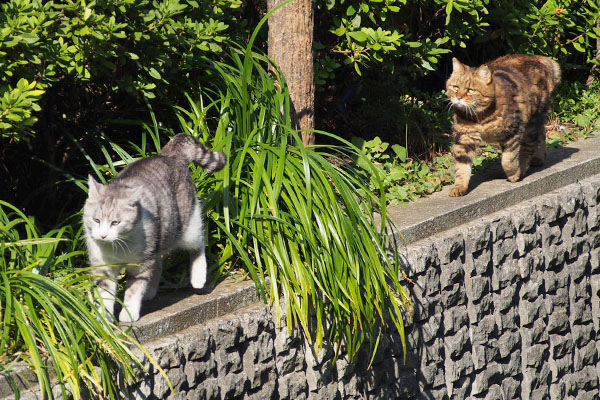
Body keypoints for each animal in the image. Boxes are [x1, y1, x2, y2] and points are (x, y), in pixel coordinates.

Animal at [83, 134, 226, 322]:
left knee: (199, 245)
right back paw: (149, 292)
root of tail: (168, 155)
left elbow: (134, 289)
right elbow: (105, 295)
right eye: (96, 220)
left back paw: (198, 278)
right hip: (159, 238)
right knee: (158, 264)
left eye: (115, 223)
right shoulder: (103, 268)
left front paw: (128, 313)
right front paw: (104, 320)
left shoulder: (140, 264)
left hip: (185, 228)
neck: (118, 248)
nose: (103, 235)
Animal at [448, 53, 560, 197]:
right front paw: (460, 186)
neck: (481, 117)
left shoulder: (513, 132)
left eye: (470, 90)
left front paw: (514, 174)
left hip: (531, 123)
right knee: (541, 134)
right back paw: (537, 158)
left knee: (529, 146)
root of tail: (540, 58)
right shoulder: (465, 137)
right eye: (455, 87)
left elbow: (508, 159)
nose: (458, 97)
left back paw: (525, 166)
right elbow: (461, 165)